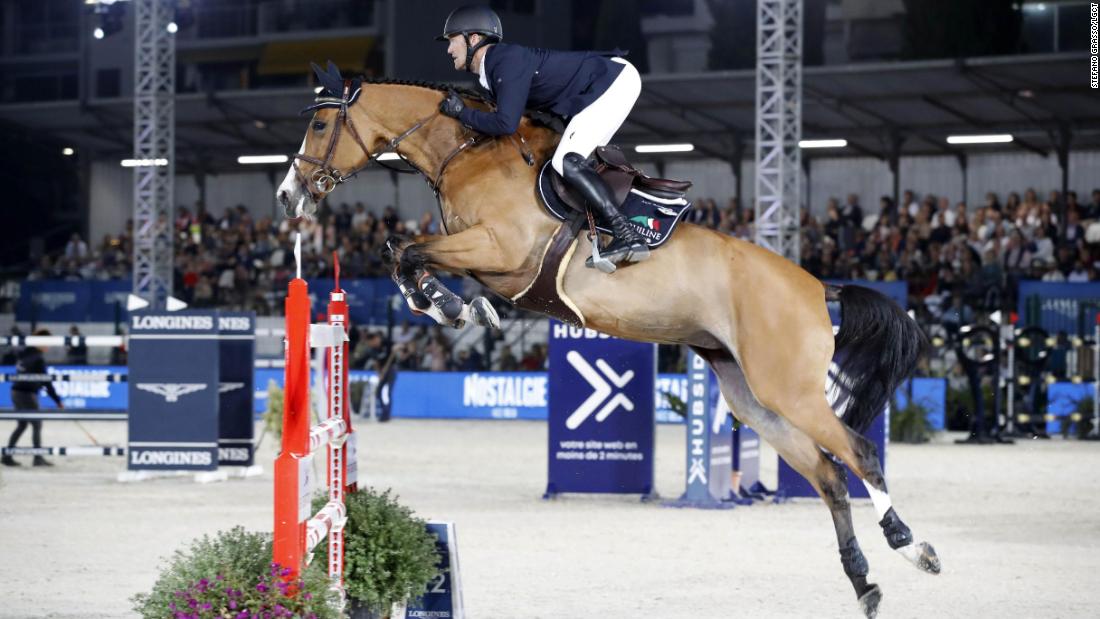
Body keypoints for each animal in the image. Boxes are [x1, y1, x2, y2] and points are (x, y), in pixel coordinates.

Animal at [275, 65, 937, 615]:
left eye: (319, 122)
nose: (288, 195)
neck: (465, 152)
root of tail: (819, 286)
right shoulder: (486, 259)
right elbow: (403, 252)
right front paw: (449, 304)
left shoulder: (500, 249)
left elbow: (407, 251)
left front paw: (448, 303)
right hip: (752, 400)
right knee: (828, 477)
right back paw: (865, 583)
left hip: (789, 390)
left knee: (859, 453)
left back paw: (912, 547)